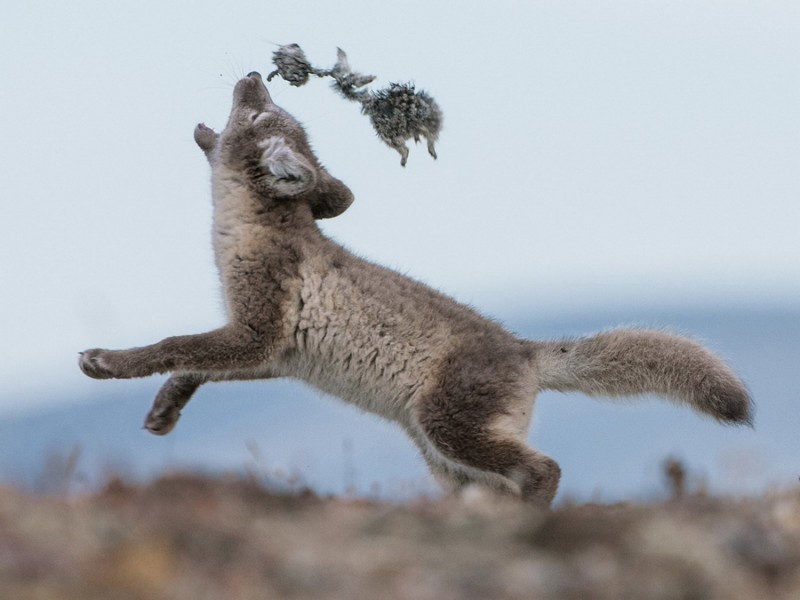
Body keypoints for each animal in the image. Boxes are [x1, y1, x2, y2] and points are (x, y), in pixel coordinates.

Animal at [78, 71, 752, 506]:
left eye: (259, 114)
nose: (251, 74)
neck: (249, 228)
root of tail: (526, 350)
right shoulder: (271, 354)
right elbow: (193, 366)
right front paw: (165, 409)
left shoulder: (255, 332)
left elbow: (170, 345)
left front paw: (107, 362)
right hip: (446, 460)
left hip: (447, 429)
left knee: (546, 470)